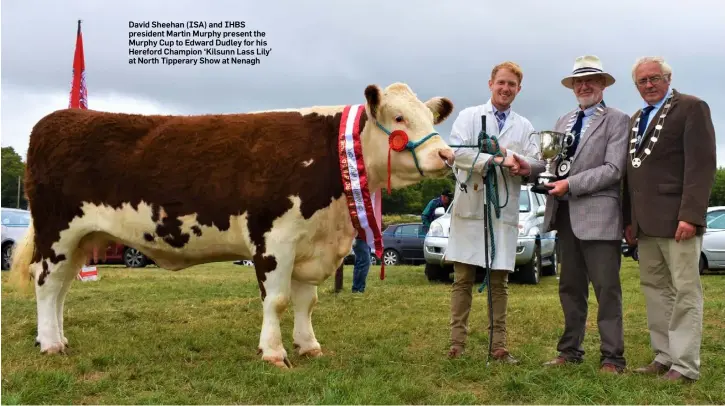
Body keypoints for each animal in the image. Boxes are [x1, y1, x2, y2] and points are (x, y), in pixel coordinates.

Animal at [9, 81, 452, 368]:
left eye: (431, 119)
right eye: (399, 117)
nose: (446, 155)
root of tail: (56, 120)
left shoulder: (311, 243)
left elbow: (307, 302)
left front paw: (309, 346)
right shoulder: (275, 240)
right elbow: (277, 300)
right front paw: (273, 353)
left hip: (82, 239)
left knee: (62, 288)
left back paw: (55, 337)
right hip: (57, 232)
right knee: (46, 283)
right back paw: (51, 345)